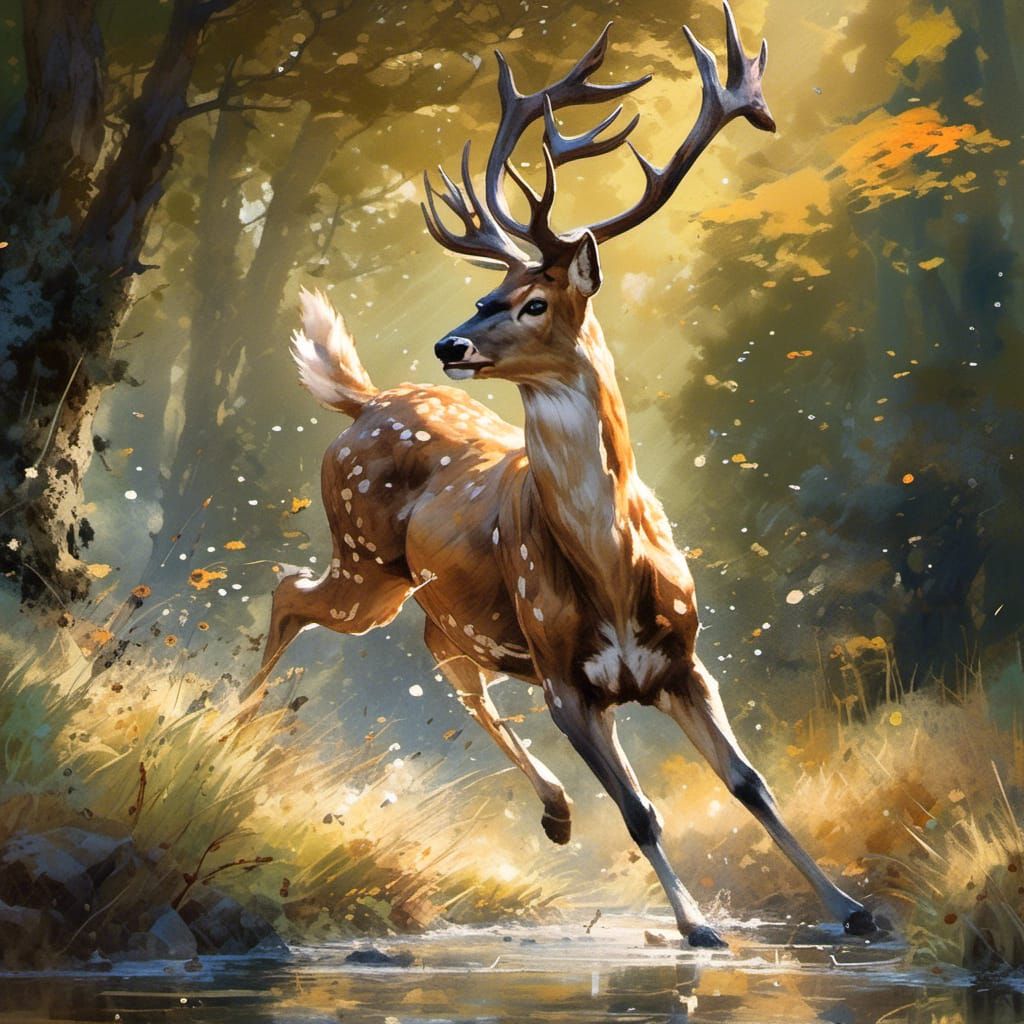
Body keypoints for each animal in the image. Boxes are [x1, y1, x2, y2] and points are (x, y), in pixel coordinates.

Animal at [244, 2, 877, 946]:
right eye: (484, 294)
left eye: (532, 300)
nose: (451, 343)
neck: (611, 572)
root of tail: (361, 402)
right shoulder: (563, 677)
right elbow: (643, 812)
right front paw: (698, 928)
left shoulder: (683, 663)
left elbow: (750, 783)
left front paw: (852, 908)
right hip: (365, 565)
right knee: (293, 589)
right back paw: (231, 727)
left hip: (424, 598)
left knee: (442, 654)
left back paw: (554, 810)